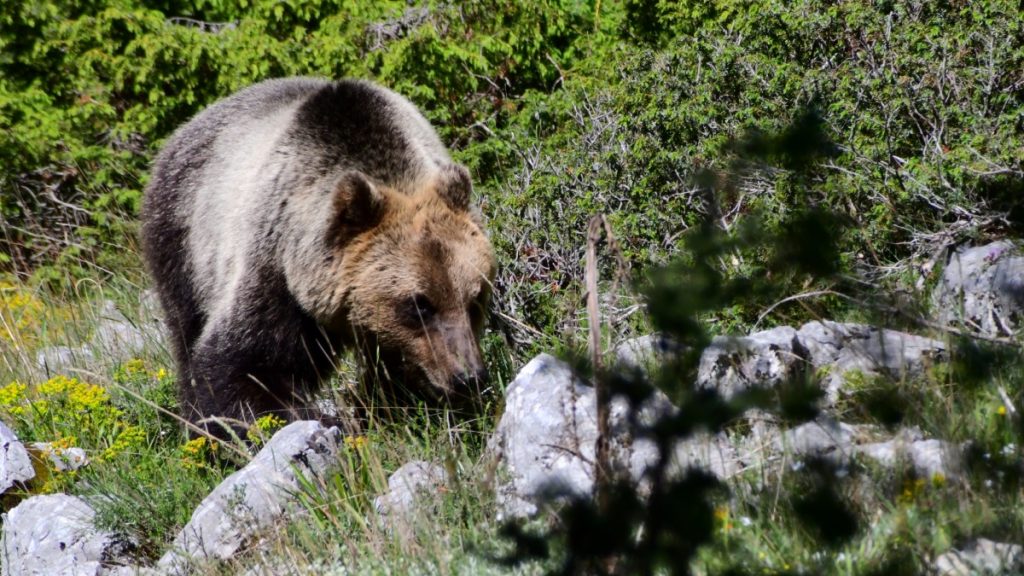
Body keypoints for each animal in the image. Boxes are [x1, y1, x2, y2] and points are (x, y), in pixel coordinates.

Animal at [140, 77, 497, 438]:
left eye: (475, 299)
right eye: (419, 305)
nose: (467, 377)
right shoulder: (275, 271)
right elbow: (243, 366)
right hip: (183, 240)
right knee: (186, 330)